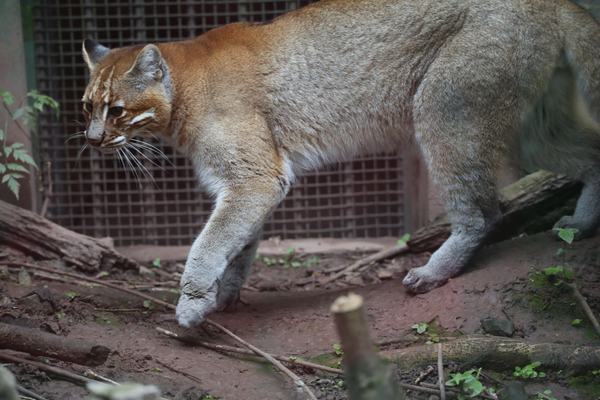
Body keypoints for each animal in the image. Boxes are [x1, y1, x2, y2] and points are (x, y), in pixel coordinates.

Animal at [81, 0, 600, 326]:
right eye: (87, 106)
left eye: (117, 110)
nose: (91, 139)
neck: (184, 90)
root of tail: (549, 2)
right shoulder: (250, 183)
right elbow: (238, 244)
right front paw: (223, 296)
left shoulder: (255, 178)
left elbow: (210, 243)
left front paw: (192, 303)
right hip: (532, 128)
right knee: (592, 152)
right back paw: (583, 223)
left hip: (445, 110)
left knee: (484, 211)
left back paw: (434, 271)